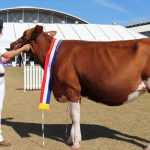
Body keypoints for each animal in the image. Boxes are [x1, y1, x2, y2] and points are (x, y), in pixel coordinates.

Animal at [10, 25, 150, 149]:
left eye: (24, 34)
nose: (11, 44)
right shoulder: (70, 92)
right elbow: (73, 117)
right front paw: (70, 140)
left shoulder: (72, 89)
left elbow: (75, 117)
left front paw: (76, 143)